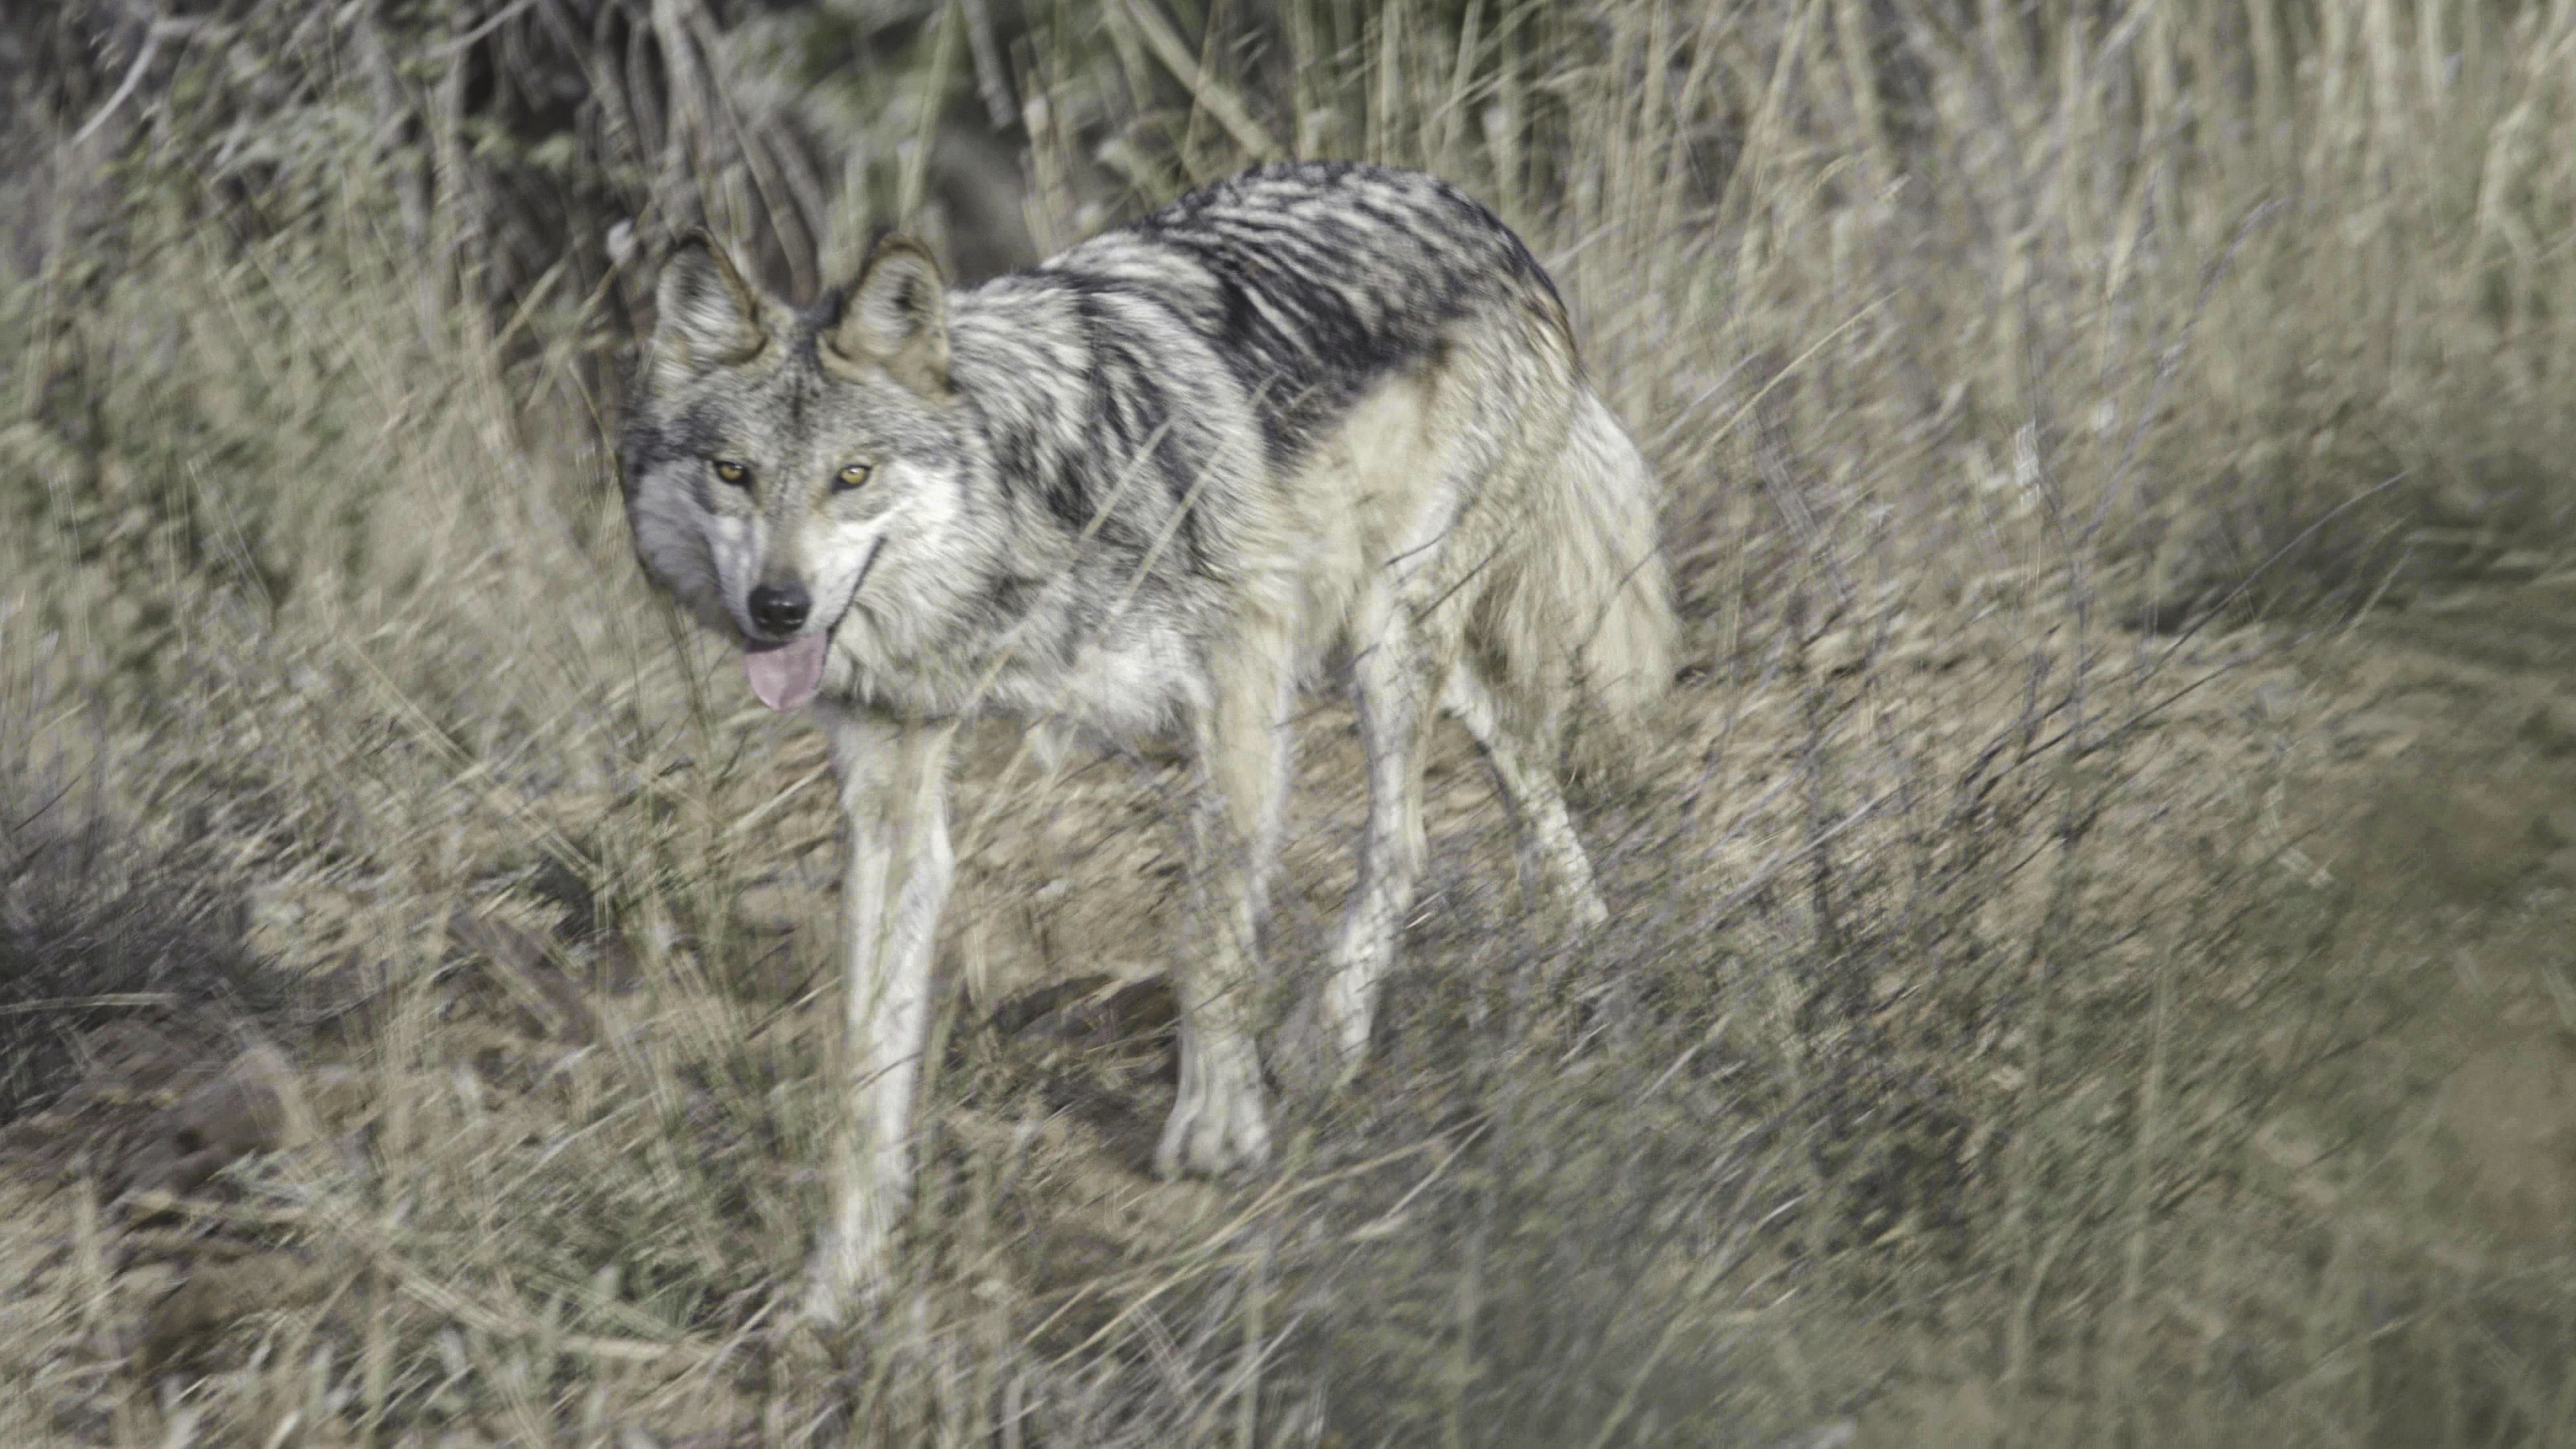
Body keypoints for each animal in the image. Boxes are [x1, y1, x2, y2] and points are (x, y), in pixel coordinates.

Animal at [620, 160, 1674, 1319]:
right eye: (732, 472)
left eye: (852, 475)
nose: (779, 609)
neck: (1016, 539)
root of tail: (1473, 210)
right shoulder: (893, 783)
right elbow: (865, 1061)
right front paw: (840, 1279)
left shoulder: (1242, 671)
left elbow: (1207, 935)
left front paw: (1216, 1128)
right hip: (1386, 639)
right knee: (1521, 760)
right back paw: (1587, 946)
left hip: (1383, 632)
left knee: (1405, 835)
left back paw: (1326, 1045)